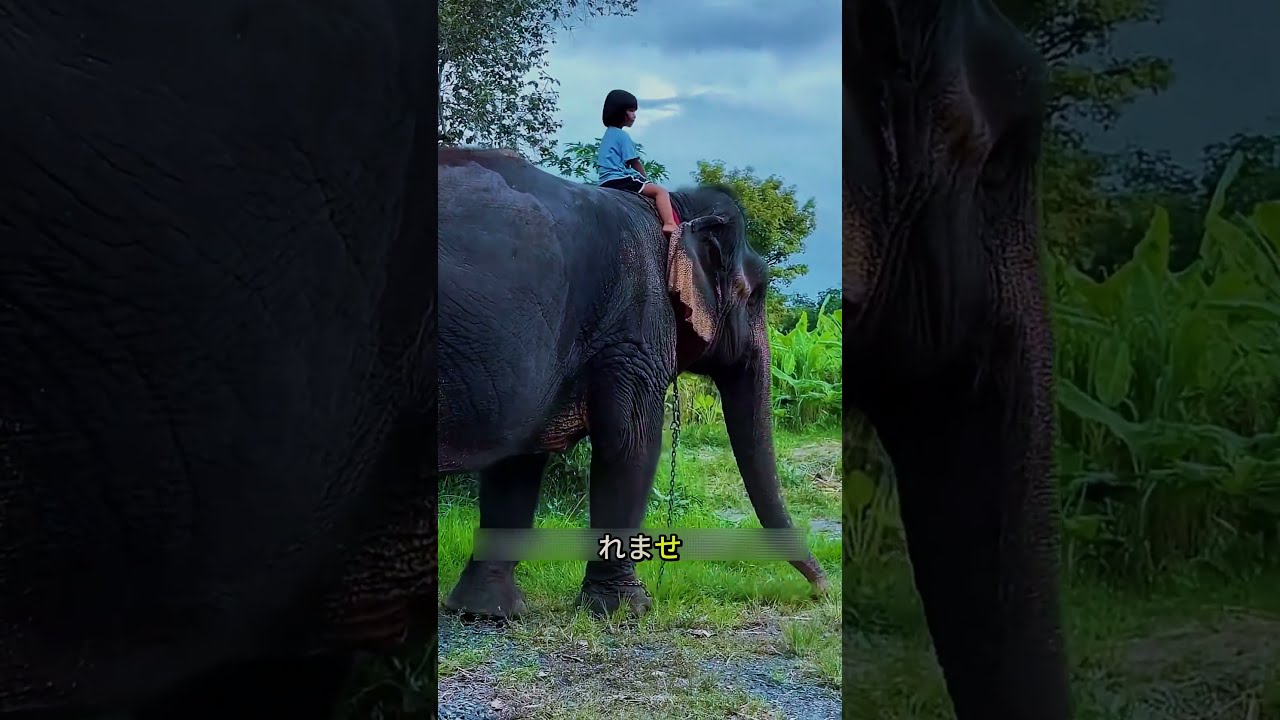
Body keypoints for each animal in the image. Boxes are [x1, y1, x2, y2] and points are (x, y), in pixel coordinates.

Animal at [437, 147, 829, 618]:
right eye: (757, 294)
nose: (824, 589)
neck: (677, 210)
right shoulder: (633, 331)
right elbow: (632, 442)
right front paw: (628, 610)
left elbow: (518, 461)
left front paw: (488, 611)